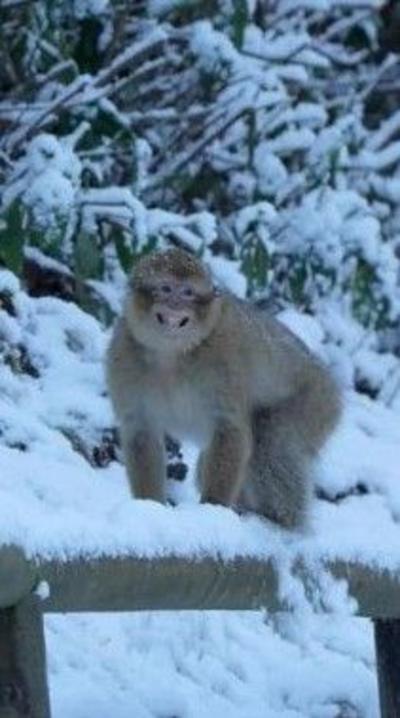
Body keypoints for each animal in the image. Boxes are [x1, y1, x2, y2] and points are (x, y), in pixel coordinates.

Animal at [106, 248, 342, 529]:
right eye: (166, 288)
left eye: (187, 292)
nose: (175, 305)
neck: (171, 355)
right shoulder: (122, 357)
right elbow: (141, 432)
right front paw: (149, 506)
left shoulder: (224, 357)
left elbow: (230, 429)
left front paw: (212, 507)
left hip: (317, 402)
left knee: (270, 441)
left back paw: (280, 520)